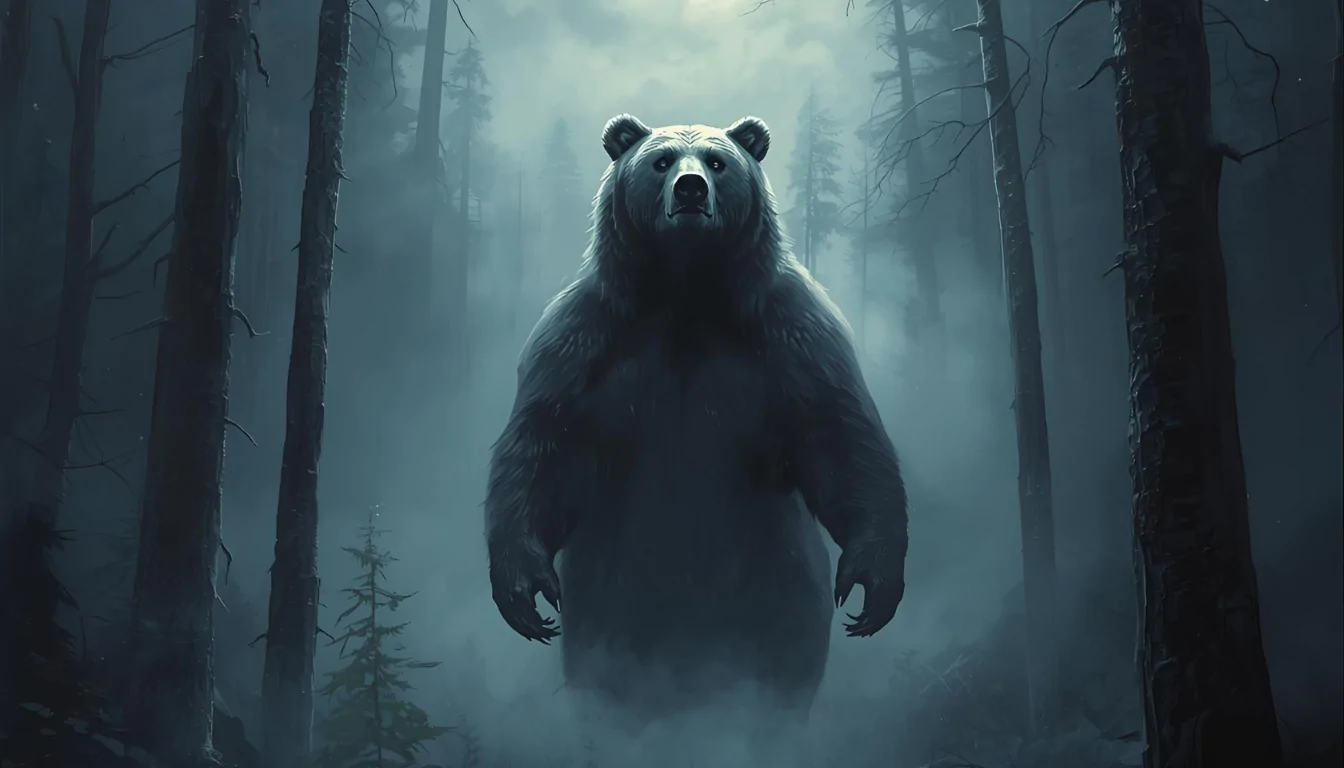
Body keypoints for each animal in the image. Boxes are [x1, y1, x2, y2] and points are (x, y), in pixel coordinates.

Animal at [484, 114, 909, 719]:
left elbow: (842, 439)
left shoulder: (793, 334)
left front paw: (873, 584)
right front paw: (524, 593)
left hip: (776, 582)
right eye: (661, 161)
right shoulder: (582, 342)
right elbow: (543, 449)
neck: (687, 293)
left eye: (717, 161)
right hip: (615, 599)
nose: (690, 190)